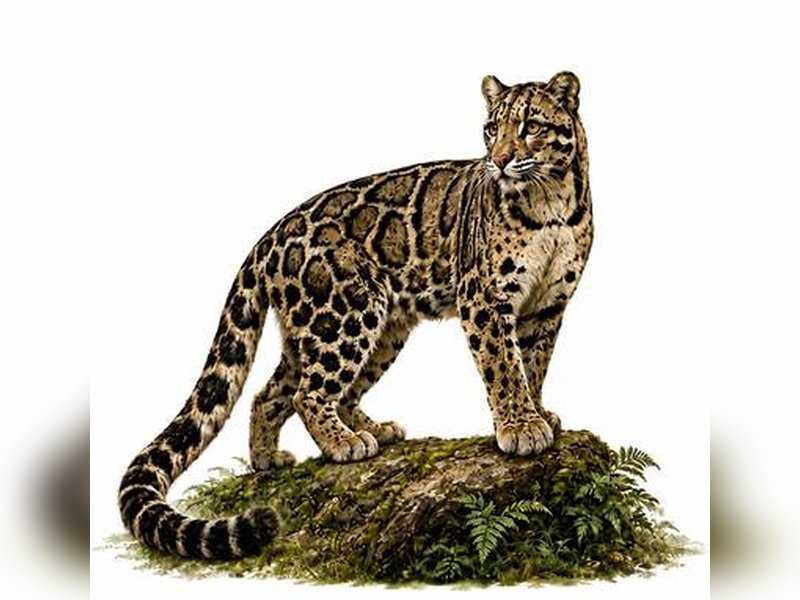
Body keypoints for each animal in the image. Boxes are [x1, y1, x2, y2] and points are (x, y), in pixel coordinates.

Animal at [118, 72, 593, 560]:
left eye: (530, 126)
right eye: (491, 129)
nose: (498, 161)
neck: (550, 203)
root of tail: (269, 237)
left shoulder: (547, 306)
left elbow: (533, 366)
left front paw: (538, 414)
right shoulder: (484, 297)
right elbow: (504, 368)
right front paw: (520, 427)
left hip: (366, 329)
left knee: (275, 393)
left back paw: (282, 455)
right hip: (344, 314)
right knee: (307, 394)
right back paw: (344, 442)